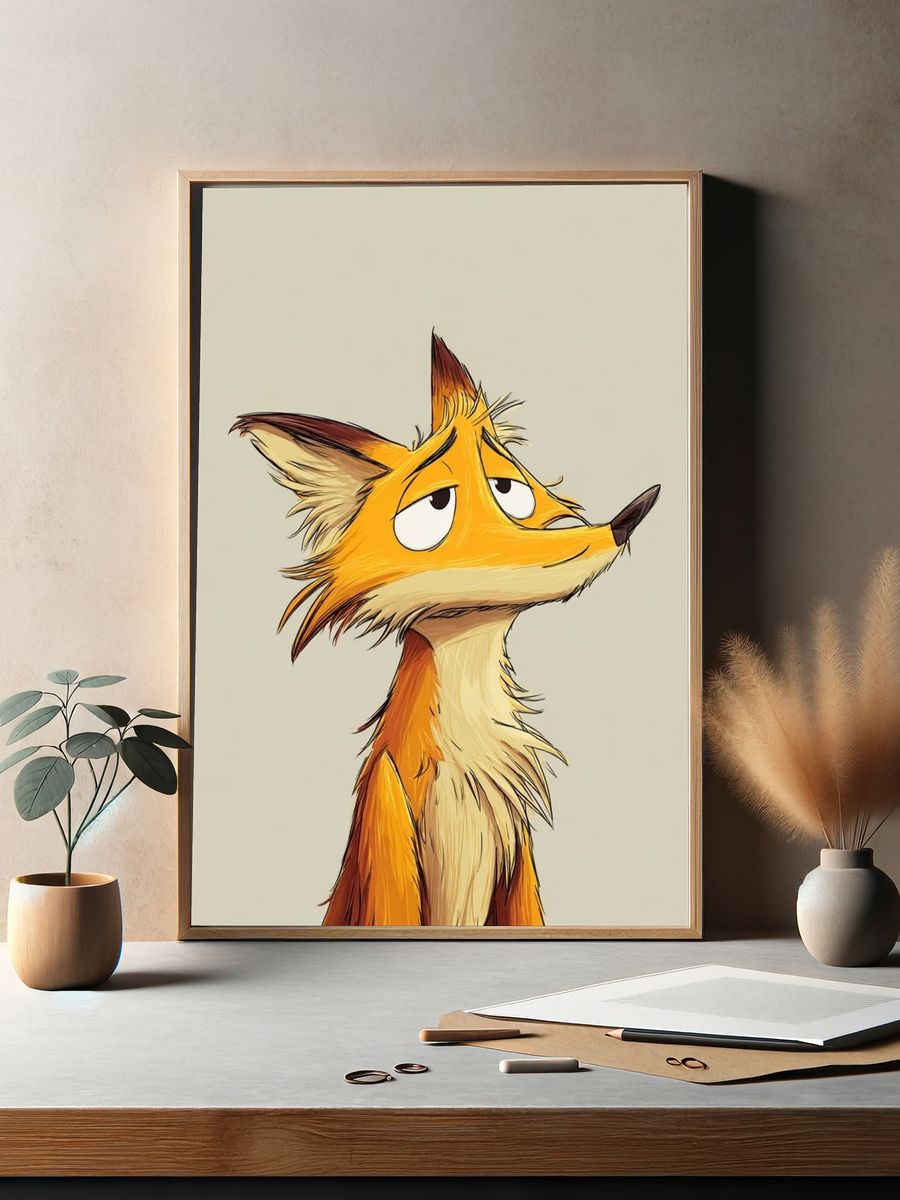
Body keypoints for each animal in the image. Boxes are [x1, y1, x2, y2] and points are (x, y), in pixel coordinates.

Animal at [233, 333, 659, 927]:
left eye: (508, 490)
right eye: (437, 505)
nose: (624, 521)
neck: (466, 763)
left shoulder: (516, 856)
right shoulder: (386, 825)